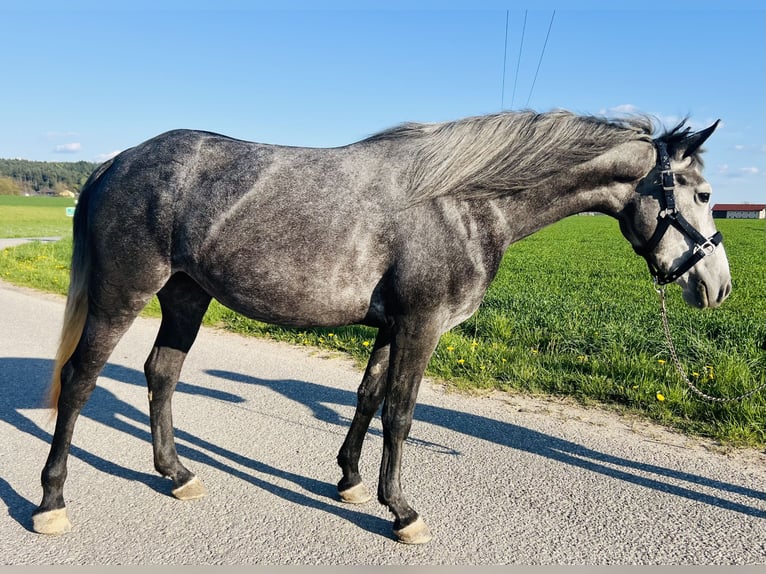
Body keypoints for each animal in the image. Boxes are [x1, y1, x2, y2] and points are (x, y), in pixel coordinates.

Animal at [32, 109, 731, 543]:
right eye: (700, 194)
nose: (717, 287)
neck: (462, 202)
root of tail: (116, 161)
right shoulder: (422, 325)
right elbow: (401, 413)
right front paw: (401, 512)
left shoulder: (393, 326)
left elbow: (368, 396)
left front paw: (348, 480)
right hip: (123, 295)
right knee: (80, 380)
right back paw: (51, 501)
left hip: (185, 297)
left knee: (161, 375)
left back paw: (176, 475)